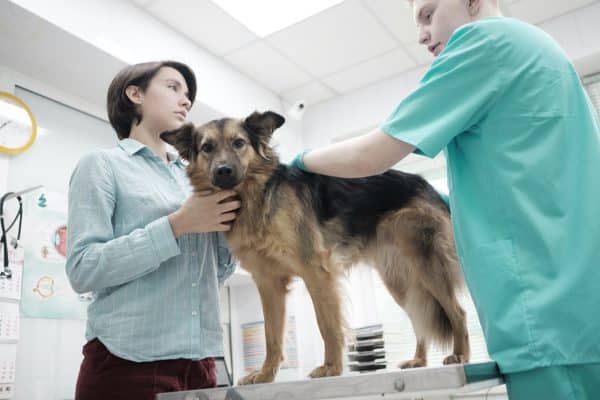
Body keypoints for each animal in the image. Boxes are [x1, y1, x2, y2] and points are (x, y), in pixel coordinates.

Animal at [162, 110, 472, 384]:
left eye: (239, 143)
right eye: (207, 147)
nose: (223, 171)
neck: (257, 197)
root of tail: (426, 185)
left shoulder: (316, 271)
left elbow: (328, 326)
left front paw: (331, 367)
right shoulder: (268, 282)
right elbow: (272, 335)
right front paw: (265, 374)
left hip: (427, 264)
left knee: (458, 312)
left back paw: (460, 355)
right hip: (400, 281)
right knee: (420, 318)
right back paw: (419, 360)